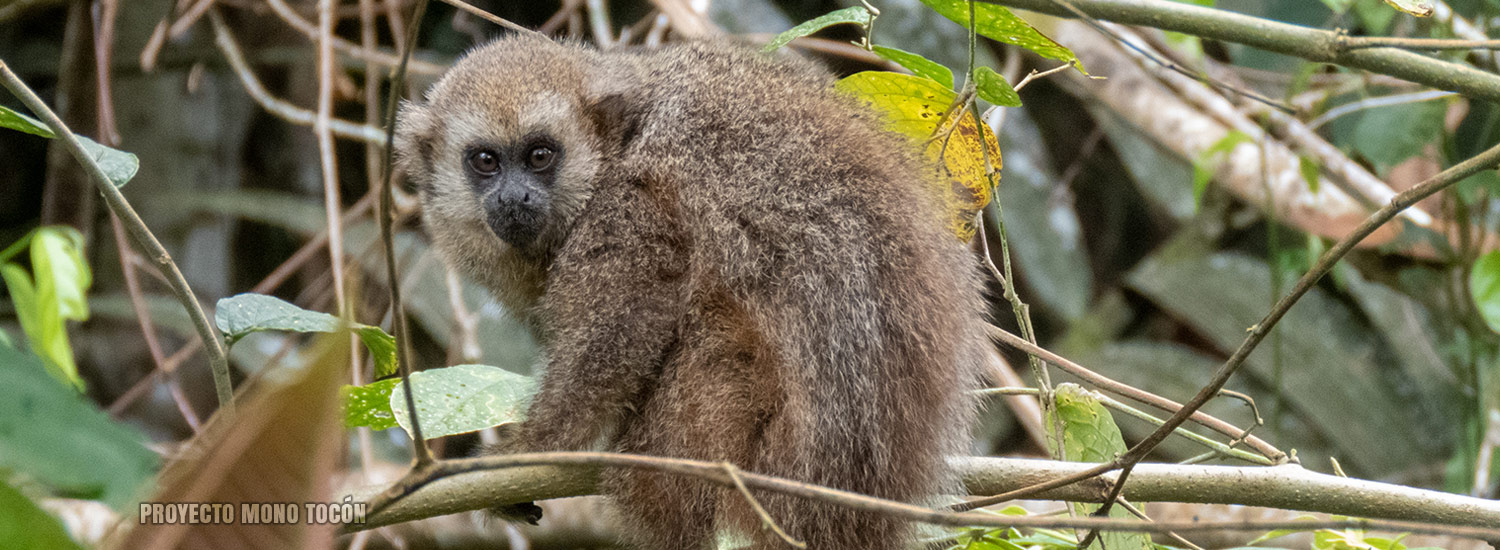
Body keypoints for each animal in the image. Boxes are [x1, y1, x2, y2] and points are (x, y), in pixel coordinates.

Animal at [393, 35, 990, 550]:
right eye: (485, 161)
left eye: (540, 156)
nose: (513, 198)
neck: (620, 144)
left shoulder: (630, 207)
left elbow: (623, 325)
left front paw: (531, 450)